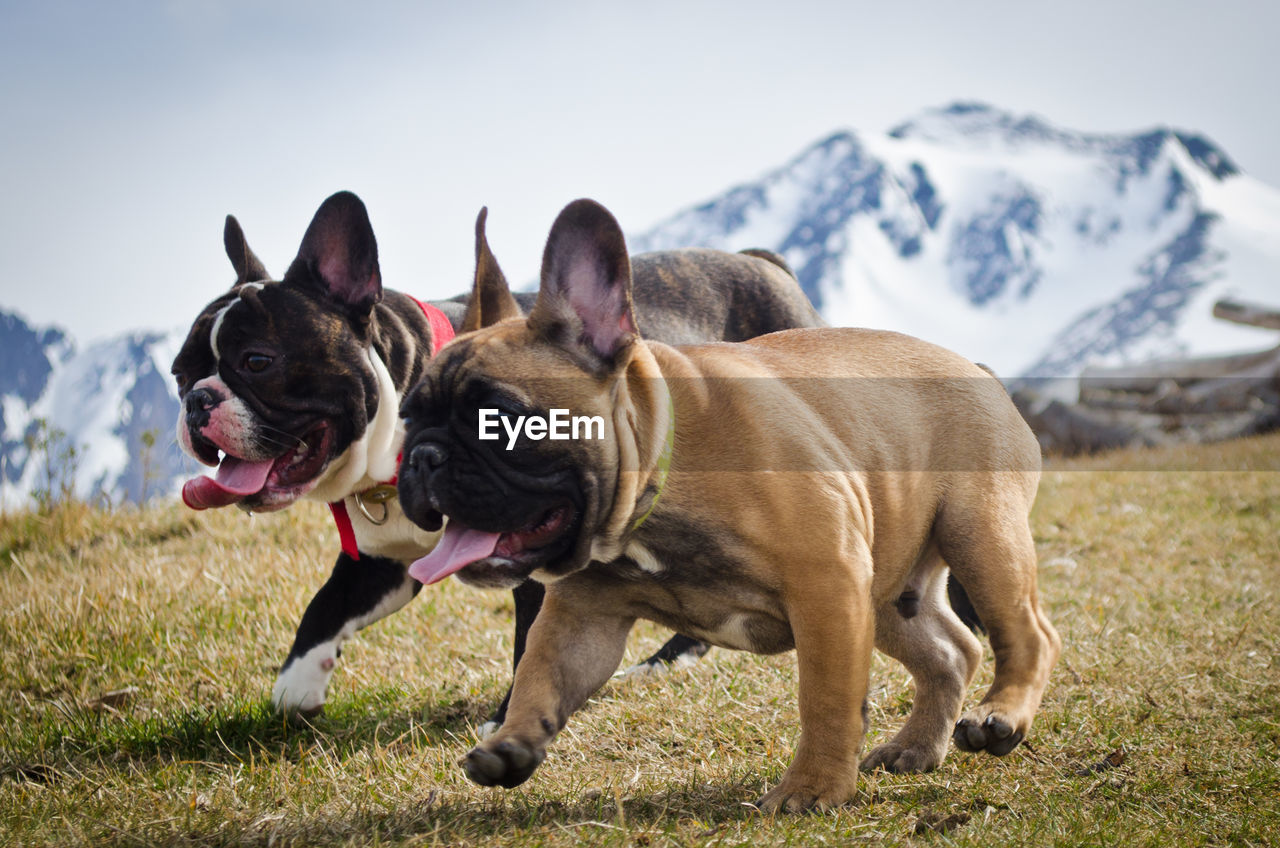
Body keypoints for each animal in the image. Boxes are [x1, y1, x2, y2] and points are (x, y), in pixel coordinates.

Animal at [172, 192, 819, 732]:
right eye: (179, 373)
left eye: (258, 362)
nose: (196, 399)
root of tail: (763, 262)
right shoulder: (380, 565)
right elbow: (322, 609)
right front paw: (298, 686)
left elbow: (530, 641)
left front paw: (510, 716)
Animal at [394, 195, 1054, 814]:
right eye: (407, 415)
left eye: (500, 417)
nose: (423, 456)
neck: (661, 473)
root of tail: (977, 368)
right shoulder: (583, 616)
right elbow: (542, 673)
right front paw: (511, 743)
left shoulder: (828, 590)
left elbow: (827, 697)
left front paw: (811, 789)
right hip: (888, 589)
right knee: (952, 652)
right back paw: (915, 746)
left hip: (978, 536)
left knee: (1028, 633)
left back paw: (999, 717)